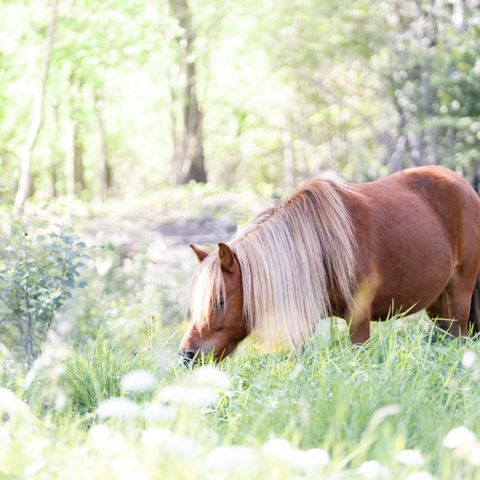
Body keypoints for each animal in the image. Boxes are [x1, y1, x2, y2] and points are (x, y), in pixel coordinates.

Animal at [178, 167, 480, 362]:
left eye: (220, 301)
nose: (187, 355)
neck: (320, 249)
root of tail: (463, 185)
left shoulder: (359, 318)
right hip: (437, 304)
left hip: (460, 295)